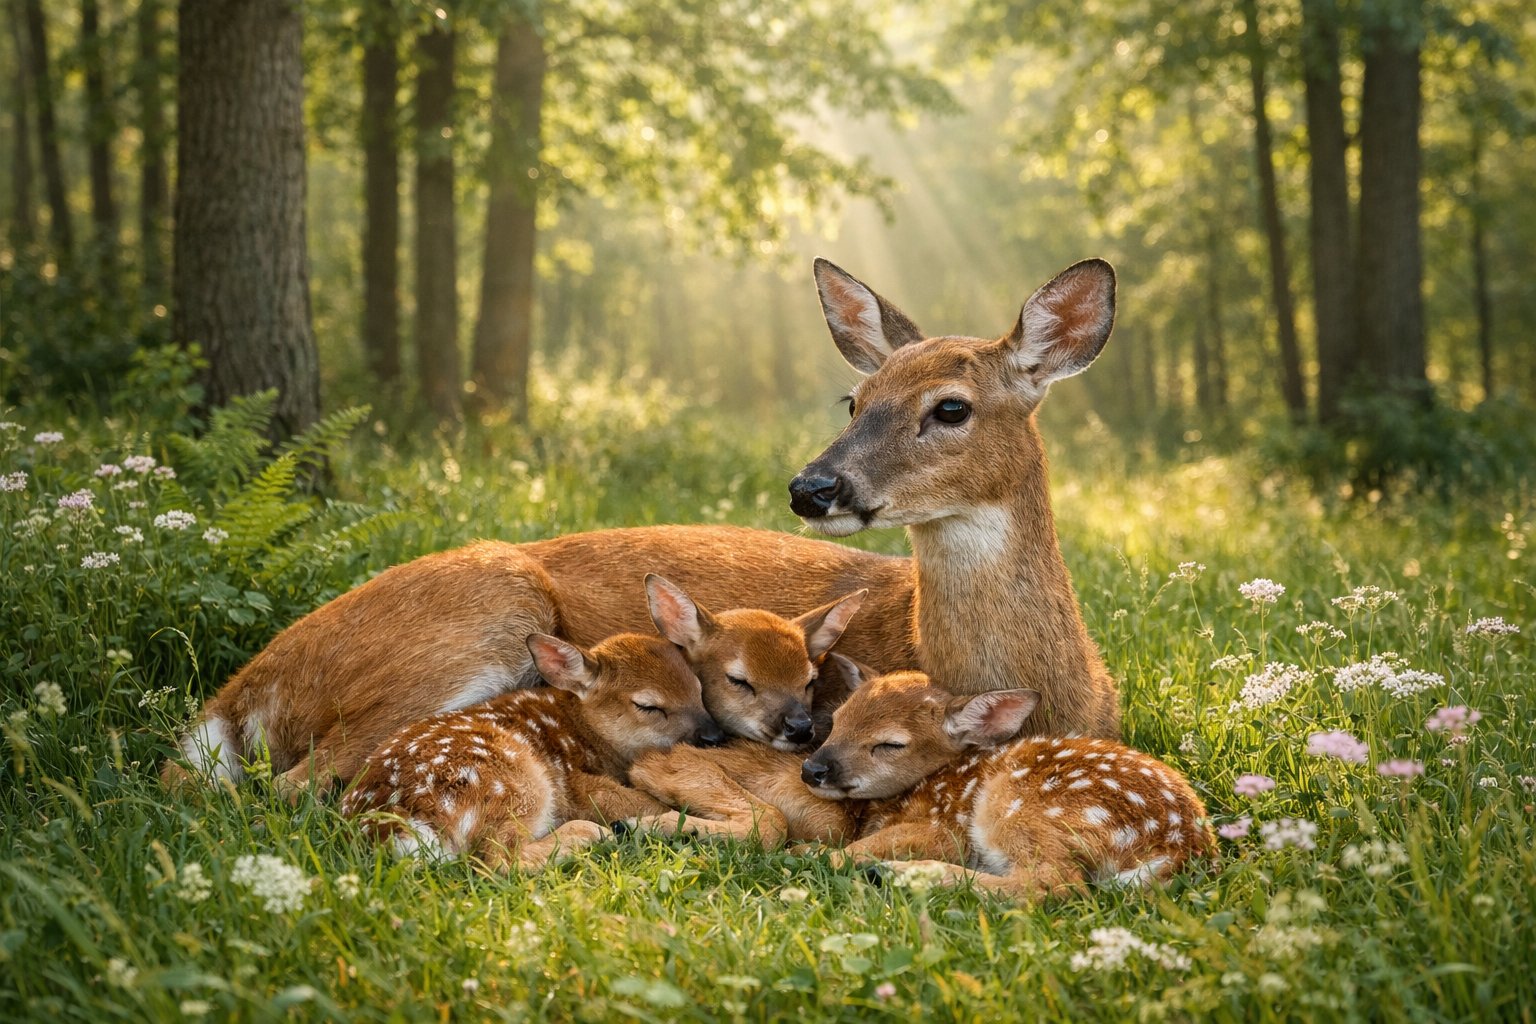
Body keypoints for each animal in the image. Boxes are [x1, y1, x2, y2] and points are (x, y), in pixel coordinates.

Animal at [164, 257, 1121, 795]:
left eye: (951, 407)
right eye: (853, 399)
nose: (813, 488)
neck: (1051, 685)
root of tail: (243, 691)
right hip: (478, 617)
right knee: (287, 783)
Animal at [340, 630, 718, 870]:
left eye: (698, 688)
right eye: (648, 705)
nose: (713, 734)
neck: (582, 728)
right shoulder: (576, 782)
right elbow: (635, 802)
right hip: (515, 781)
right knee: (497, 860)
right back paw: (589, 834)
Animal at [627, 662, 1213, 901]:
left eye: (890, 744)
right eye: (837, 721)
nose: (814, 768)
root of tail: (1180, 847)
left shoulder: (940, 825)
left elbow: (777, 826)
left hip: (1016, 804)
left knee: (1055, 883)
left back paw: (903, 875)